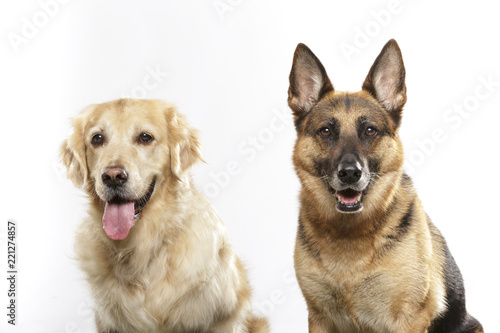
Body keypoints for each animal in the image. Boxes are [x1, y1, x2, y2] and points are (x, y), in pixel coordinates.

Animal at [290, 39, 484, 332]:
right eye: (326, 131)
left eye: (370, 131)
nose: (350, 174)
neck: (349, 234)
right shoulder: (319, 318)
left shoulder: (408, 320)